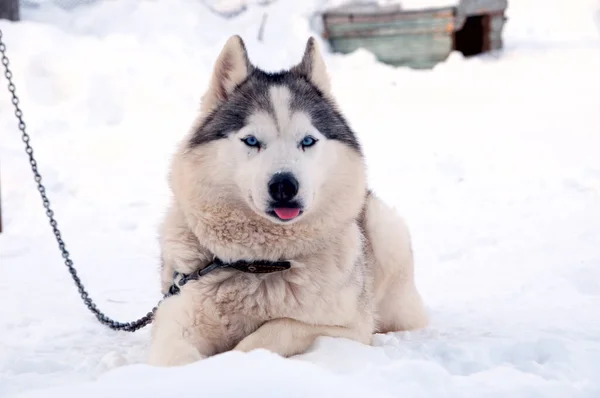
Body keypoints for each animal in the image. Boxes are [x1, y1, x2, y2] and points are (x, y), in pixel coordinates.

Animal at [148, 35, 428, 366]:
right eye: (251, 140)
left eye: (307, 141)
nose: (284, 185)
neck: (261, 264)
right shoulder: (176, 314)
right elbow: (174, 356)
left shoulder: (351, 328)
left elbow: (277, 328)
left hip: (385, 232)